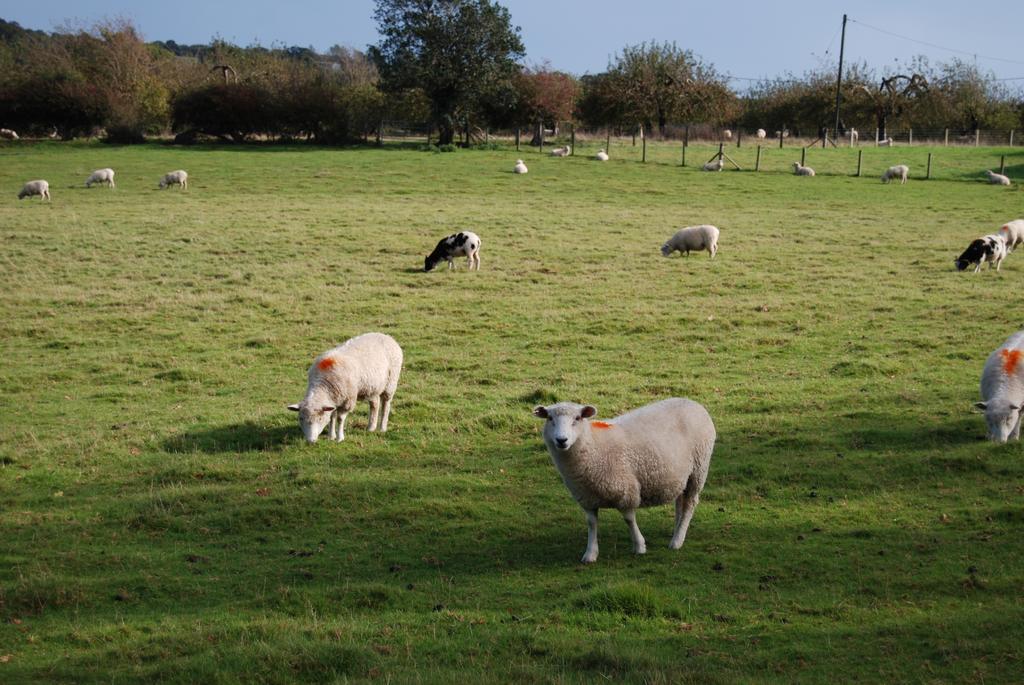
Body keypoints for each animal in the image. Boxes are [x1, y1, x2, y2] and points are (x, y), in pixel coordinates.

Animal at [532, 397, 716, 565]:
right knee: (680, 502)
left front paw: (639, 546)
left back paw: (677, 540)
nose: (561, 440)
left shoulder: (626, 491)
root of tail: (693, 403)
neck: (593, 446)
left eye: (577, 418)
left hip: (698, 469)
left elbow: (629, 519)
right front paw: (590, 553)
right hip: (682, 475)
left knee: (689, 504)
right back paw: (677, 529)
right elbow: (591, 524)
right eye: (550, 418)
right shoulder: (586, 497)